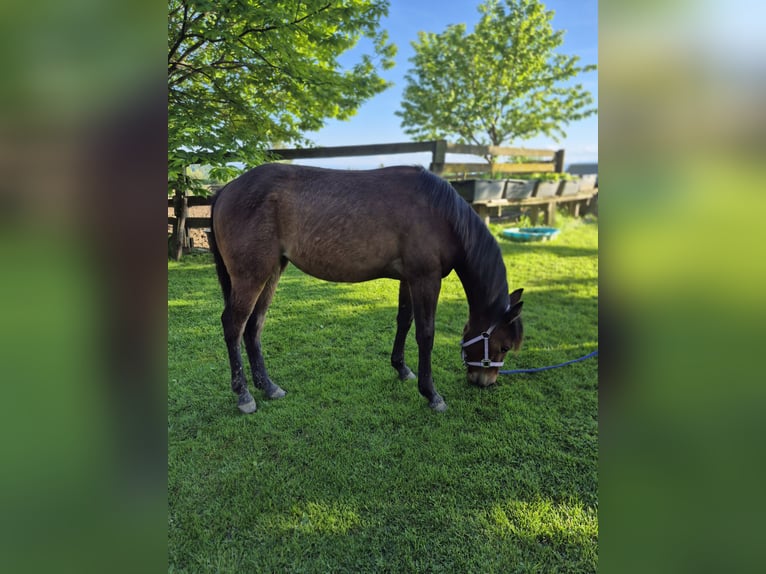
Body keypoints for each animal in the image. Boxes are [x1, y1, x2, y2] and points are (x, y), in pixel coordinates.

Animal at [208, 163, 524, 414]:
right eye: (504, 346)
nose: (485, 383)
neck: (440, 214)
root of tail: (227, 189)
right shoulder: (426, 278)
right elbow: (426, 334)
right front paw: (432, 394)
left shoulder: (408, 279)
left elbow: (404, 321)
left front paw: (401, 368)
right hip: (252, 276)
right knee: (234, 326)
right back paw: (244, 395)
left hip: (271, 273)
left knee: (254, 327)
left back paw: (268, 386)